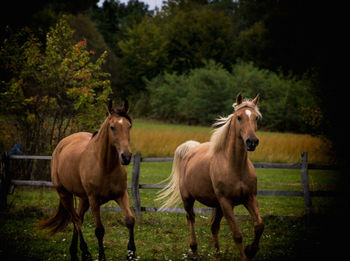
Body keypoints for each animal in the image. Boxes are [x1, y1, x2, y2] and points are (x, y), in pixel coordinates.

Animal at [38, 100, 135, 258]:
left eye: (129, 126)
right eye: (112, 127)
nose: (126, 157)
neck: (105, 166)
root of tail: (61, 144)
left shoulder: (121, 195)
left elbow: (130, 221)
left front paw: (131, 253)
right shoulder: (94, 199)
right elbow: (99, 231)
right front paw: (101, 257)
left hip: (84, 198)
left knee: (79, 218)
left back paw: (74, 251)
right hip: (65, 194)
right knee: (76, 220)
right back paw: (85, 251)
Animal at [157, 93, 264, 258]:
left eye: (256, 118)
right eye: (239, 117)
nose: (252, 141)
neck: (235, 167)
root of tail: (191, 150)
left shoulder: (250, 198)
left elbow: (259, 225)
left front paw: (251, 250)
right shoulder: (226, 202)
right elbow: (237, 235)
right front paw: (245, 254)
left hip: (217, 205)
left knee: (214, 226)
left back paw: (217, 253)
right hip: (188, 199)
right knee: (191, 218)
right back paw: (194, 249)